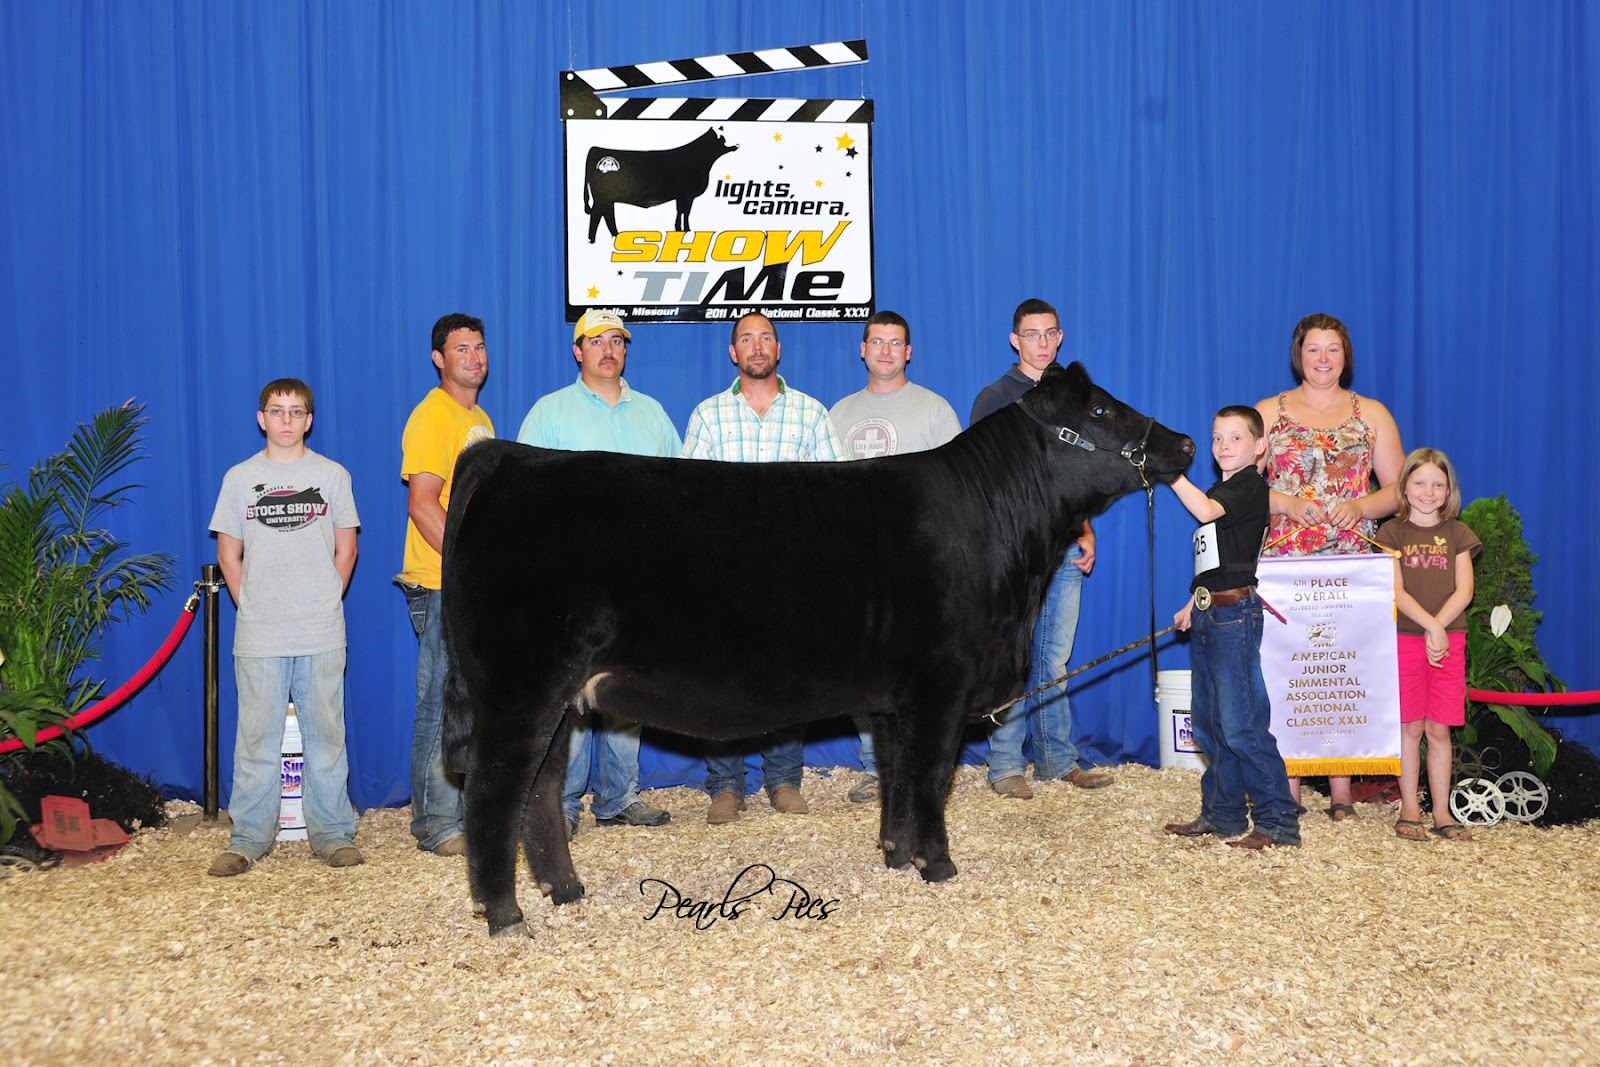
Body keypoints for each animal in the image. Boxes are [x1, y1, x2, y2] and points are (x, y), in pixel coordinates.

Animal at [440, 361, 1194, 937]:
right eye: (1101, 408)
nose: (1185, 442)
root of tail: (513, 456)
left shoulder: (895, 698)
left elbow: (896, 776)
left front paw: (895, 854)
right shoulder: (941, 685)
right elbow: (931, 778)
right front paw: (939, 865)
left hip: (561, 694)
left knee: (540, 789)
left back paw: (565, 891)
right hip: (520, 687)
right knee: (495, 792)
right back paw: (506, 916)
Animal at [583, 127, 737, 243]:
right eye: (722, 138)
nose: (736, 144)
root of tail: (595, 149)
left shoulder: (681, 196)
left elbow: (680, 211)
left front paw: (679, 229)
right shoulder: (687, 195)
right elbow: (685, 212)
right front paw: (687, 230)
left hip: (606, 199)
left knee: (606, 215)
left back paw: (614, 235)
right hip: (602, 198)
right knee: (598, 216)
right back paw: (594, 239)